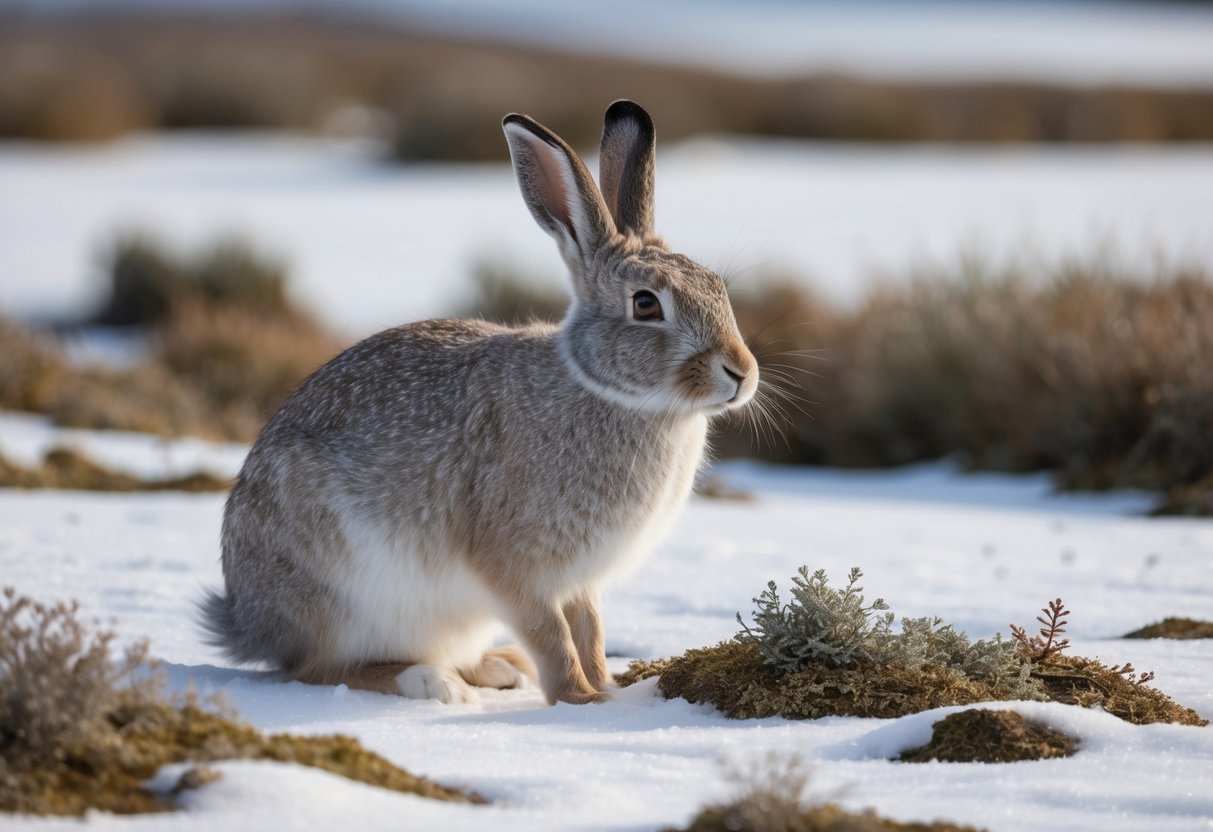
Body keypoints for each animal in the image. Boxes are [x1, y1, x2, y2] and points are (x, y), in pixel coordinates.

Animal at [199, 100, 758, 706]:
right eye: (646, 305)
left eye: (718, 288)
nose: (742, 373)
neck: (613, 393)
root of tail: (245, 621)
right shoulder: (511, 566)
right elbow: (552, 634)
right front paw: (579, 699)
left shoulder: (580, 580)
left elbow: (589, 630)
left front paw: (608, 690)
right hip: (340, 595)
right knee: (315, 668)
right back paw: (430, 681)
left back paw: (497, 667)